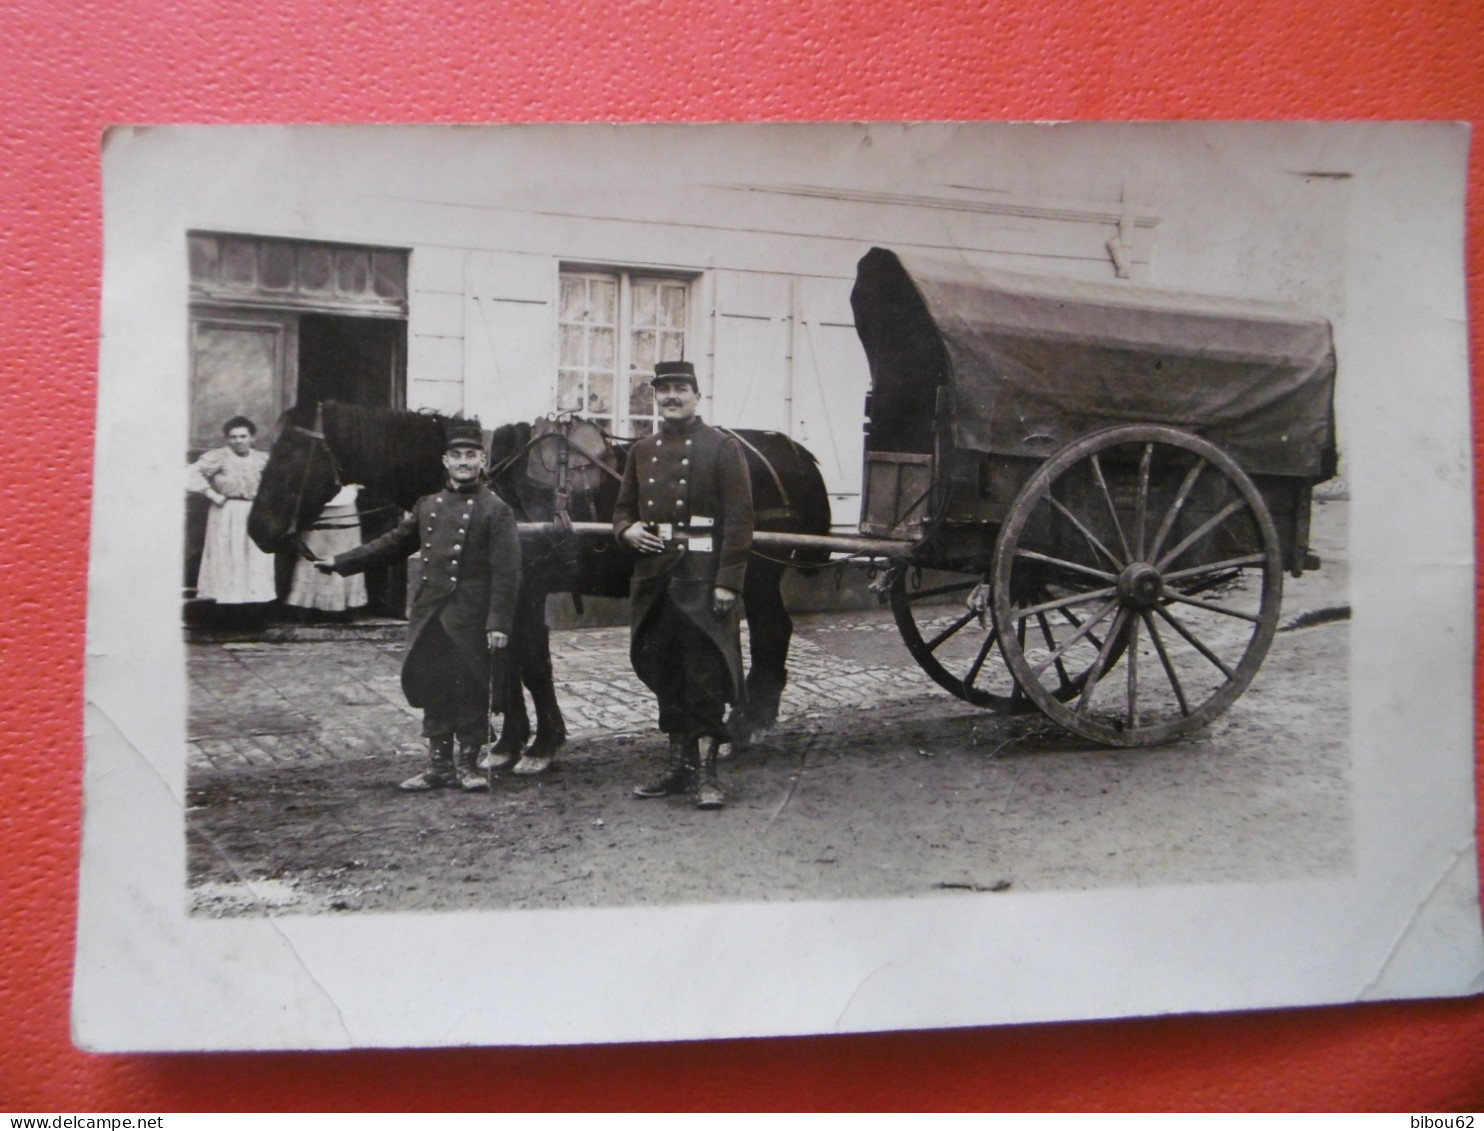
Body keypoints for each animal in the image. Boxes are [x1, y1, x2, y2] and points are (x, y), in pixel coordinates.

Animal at [246, 400, 836, 759]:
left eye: (291, 452)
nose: (257, 529)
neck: (491, 482)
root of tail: (791, 451)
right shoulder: (509, 592)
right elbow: (512, 664)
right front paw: (512, 743)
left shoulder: (525, 590)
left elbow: (528, 664)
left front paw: (539, 744)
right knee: (772, 634)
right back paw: (749, 720)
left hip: (756, 572)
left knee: (772, 634)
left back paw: (746, 724)